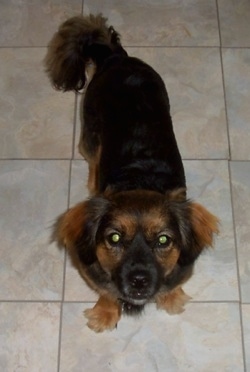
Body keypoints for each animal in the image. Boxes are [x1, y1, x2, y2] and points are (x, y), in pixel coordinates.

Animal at [45, 13, 219, 334]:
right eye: (114, 238)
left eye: (163, 241)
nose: (138, 280)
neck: (140, 179)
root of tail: (115, 56)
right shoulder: (91, 269)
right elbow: (106, 290)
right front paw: (105, 313)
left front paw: (171, 298)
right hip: (89, 134)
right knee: (91, 156)